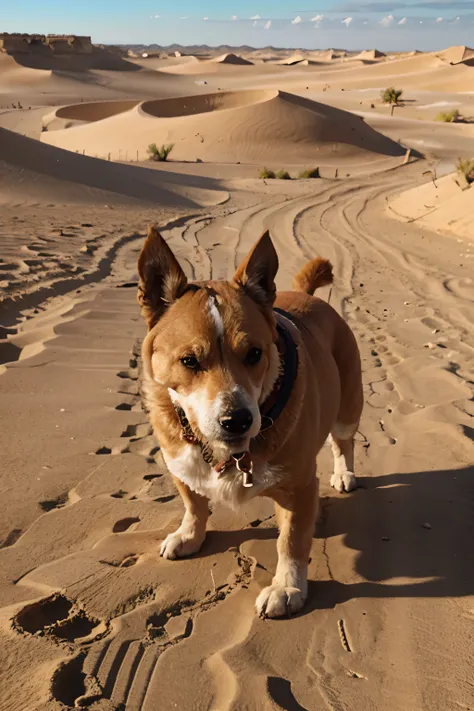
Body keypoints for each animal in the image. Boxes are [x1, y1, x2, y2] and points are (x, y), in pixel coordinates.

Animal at [137, 227, 362, 616]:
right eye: (189, 360)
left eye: (255, 353)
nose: (237, 420)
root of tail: (307, 295)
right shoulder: (180, 463)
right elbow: (193, 504)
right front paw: (189, 536)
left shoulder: (299, 489)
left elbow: (291, 542)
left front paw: (287, 587)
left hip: (348, 406)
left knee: (343, 442)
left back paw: (344, 473)